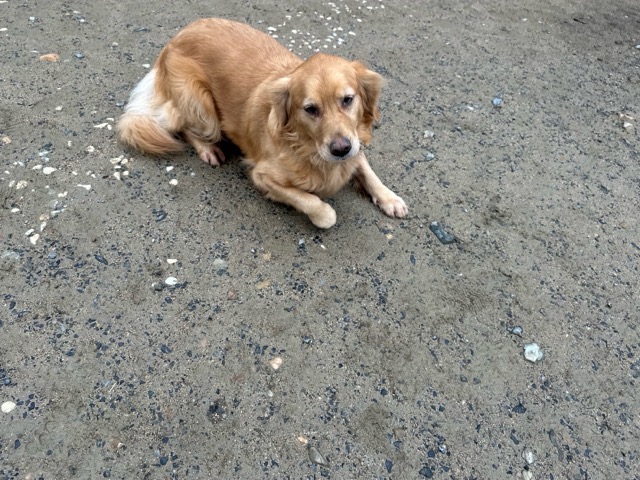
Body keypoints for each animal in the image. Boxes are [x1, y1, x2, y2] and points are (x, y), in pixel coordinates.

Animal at [117, 18, 408, 228]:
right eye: (310, 109)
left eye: (347, 100)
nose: (340, 149)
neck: (307, 148)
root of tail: (175, 38)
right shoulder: (263, 175)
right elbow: (318, 207)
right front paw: (322, 211)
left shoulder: (355, 141)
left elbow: (366, 169)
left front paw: (389, 197)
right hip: (201, 106)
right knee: (181, 125)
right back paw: (208, 149)